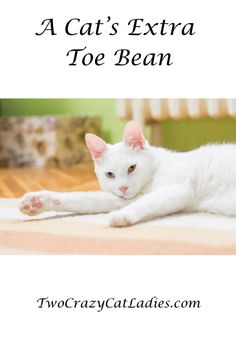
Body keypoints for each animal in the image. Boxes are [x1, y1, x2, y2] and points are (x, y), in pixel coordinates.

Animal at [19, 121, 236, 227]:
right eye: (109, 174)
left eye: (132, 168)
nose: (123, 187)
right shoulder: (121, 198)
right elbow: (82, 198)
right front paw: (37, 201)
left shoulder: (177, 189)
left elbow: (145, 202)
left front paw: (122, 216)